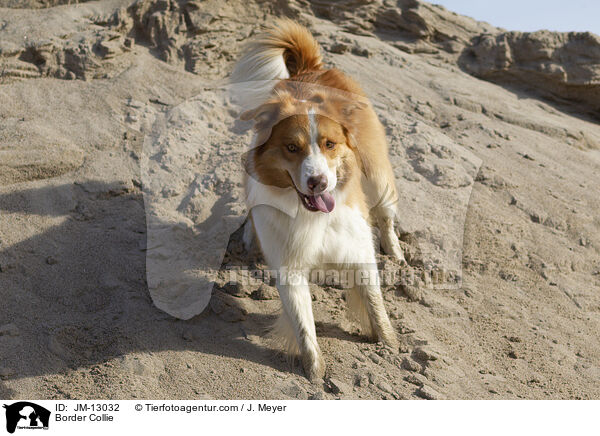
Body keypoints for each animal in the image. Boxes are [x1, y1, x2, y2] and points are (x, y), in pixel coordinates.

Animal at [232, 18, 406, 380]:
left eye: (329, 144)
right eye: (291, 147)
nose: (318, 183)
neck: (311, 214)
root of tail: (311, 69)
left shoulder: (357, 248)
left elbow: (374, 301)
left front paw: (390, 345)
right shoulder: (289, 263)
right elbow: (303, 324)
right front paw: (314, 373)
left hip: (376, 172)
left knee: (385, 214)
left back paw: (396, 253)